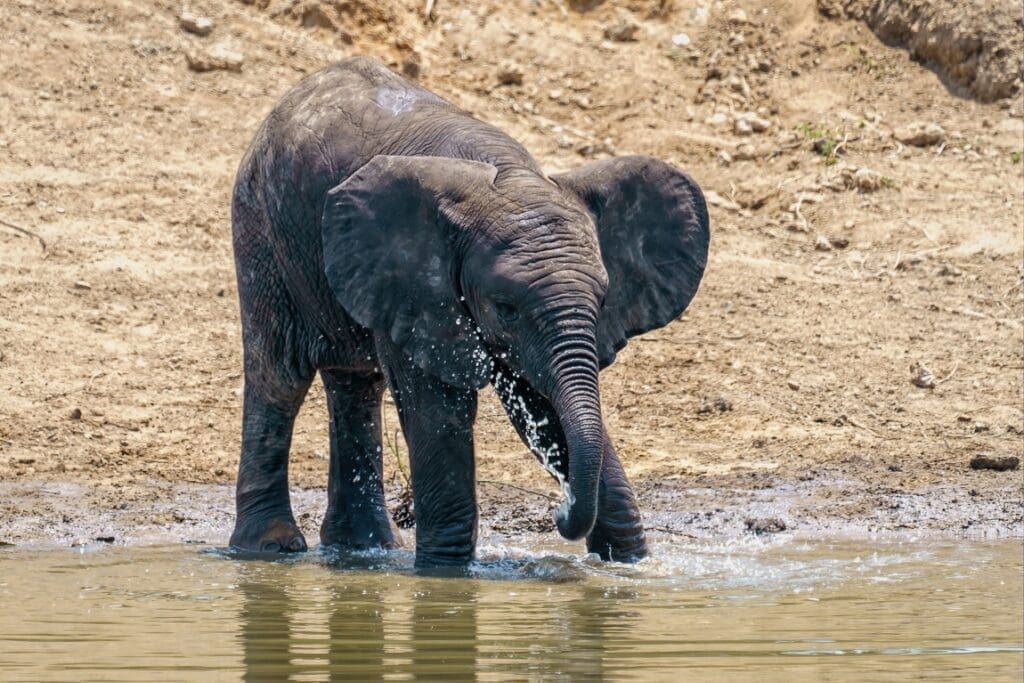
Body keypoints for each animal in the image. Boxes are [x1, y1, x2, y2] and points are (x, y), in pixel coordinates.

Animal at [230, 56, 712, 569]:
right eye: (505, 308)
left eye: (602, 300)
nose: (559, 512)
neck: (509, 175)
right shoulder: (420, 285)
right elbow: (441, 409)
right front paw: (445, 574)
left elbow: (544, 404)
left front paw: (628, 565)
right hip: (260, 230)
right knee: (278, 376)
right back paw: (268, 549)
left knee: (355, 385)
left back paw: (363, 549)